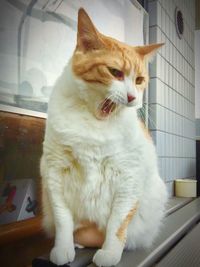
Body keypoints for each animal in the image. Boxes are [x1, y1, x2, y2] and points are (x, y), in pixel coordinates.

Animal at [40, 7, 167, 267]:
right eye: (115, 73)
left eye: (139, 80)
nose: (133, 97)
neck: (96, 120)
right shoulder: (55, 173)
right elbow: (63, 220)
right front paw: (63, 248)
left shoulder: (128, 179)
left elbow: (117, 224)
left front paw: (109, 252)